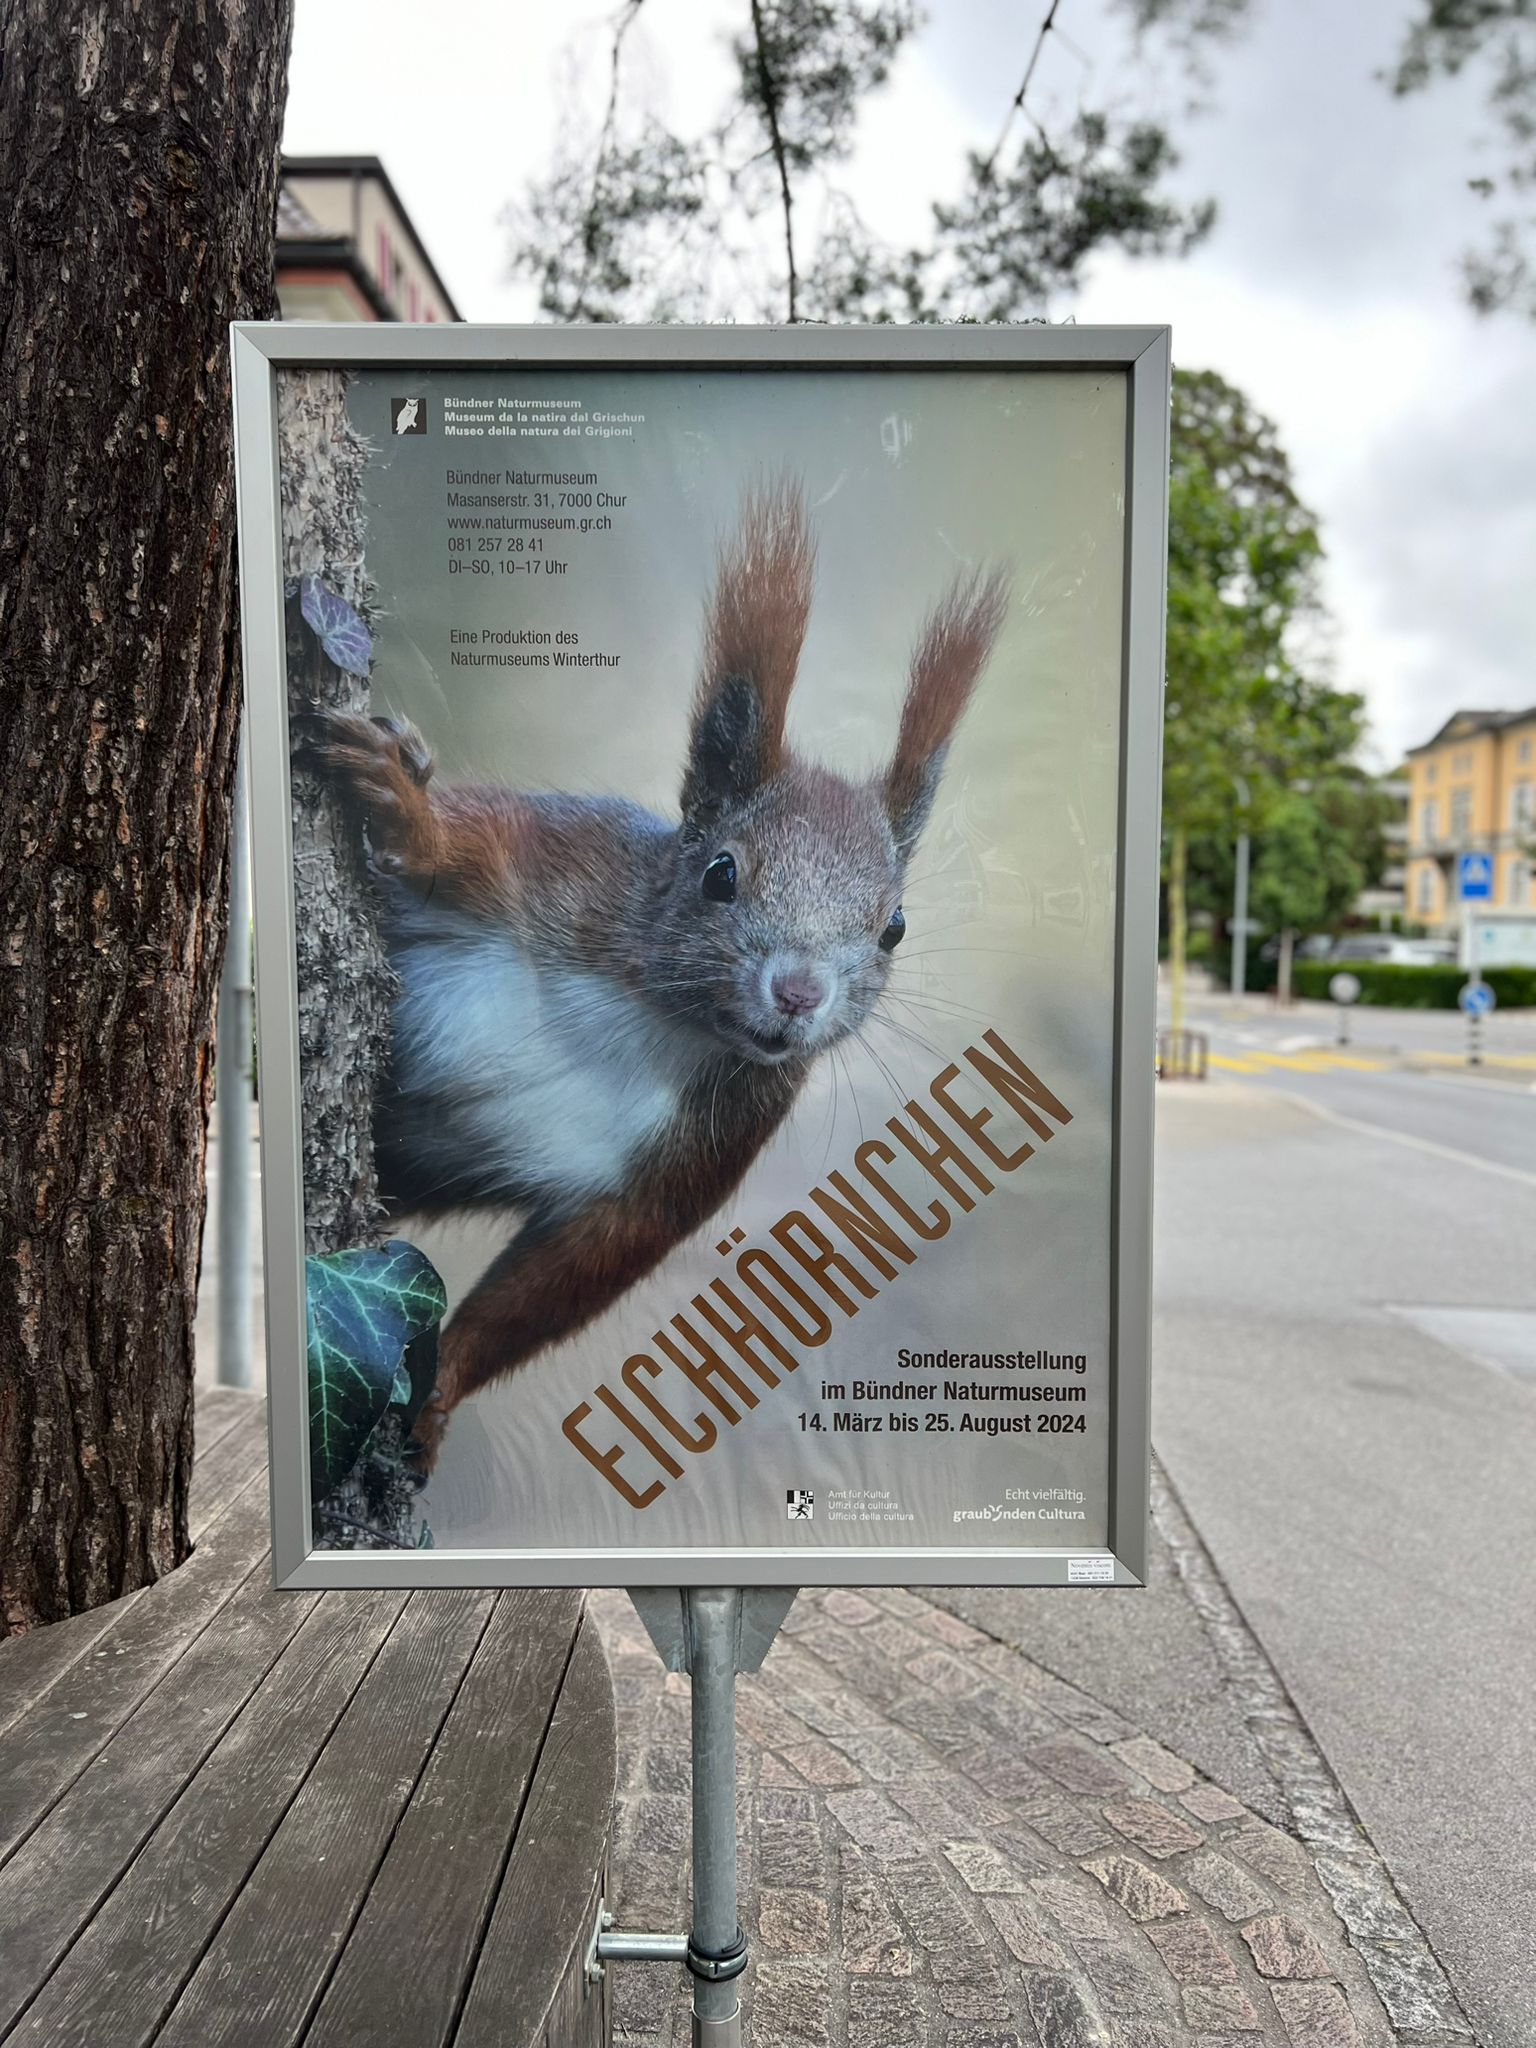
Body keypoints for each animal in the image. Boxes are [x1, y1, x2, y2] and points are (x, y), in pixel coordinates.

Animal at [303, 480, 1009, 1468]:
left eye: (894, 929)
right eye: (720, 873)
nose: (799, 994)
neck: (655, 1018)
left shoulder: (702, 1152)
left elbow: (570, 1275)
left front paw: (442, 1387)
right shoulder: (561, 863)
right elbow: (460, 846)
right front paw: (409, 812)